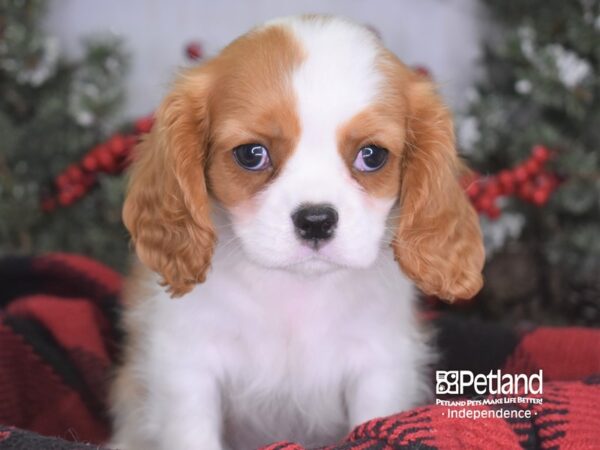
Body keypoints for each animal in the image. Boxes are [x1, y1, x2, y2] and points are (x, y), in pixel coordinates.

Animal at [110, 14, 486, 450]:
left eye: (372, 155)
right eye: (251, 154)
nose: (316, 220)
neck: (295, 291)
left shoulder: (381, 366)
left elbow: (374, 420)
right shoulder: (187, 367)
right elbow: (193, 432)